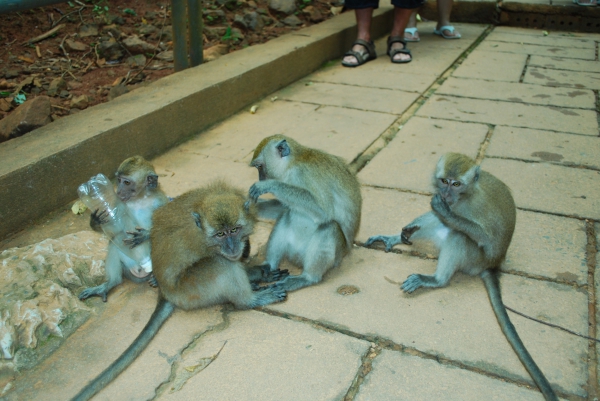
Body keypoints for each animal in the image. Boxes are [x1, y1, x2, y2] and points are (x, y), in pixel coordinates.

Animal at [78, 155, 169, 300]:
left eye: (126, 182)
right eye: (119, 180)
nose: (118, 191)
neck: (140, 198)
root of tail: (141, 270)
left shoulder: (160, 201)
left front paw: (145, 234)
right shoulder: (118, 204)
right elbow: (115, 230)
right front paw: (96, 220)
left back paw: (156, 278)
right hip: (128, 263)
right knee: (115, 241)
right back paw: (110, 283)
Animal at [247, 134, 360, 290]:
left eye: (259, 166)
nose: (260, 178)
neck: (292, 163)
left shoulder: (303, 174)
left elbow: (324, 212)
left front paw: (269, 185)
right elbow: (284, 207)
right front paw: (247, 207)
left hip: (336, 256)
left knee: (329, 226)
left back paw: (308, 278)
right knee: (286, 214)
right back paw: (268, 267)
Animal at [366, 153, 556, 400]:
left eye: (456, 184)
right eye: (444, 181)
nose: (447, 194)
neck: (466, 194)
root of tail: (493, 264)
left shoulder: (473, 207)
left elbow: (482, 235)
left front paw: (445, 211)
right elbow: (435, 214)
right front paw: (406, 229)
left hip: (475, 260)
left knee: (458, 234)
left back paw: (436, 280)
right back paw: (398, 238)